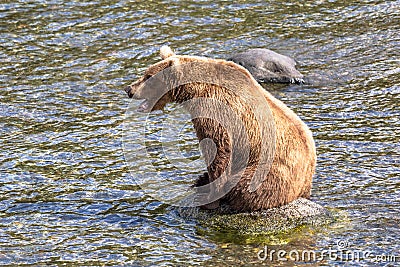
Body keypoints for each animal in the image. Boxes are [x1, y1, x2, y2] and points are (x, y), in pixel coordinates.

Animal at [125, 46, 316, 214]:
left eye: (148, 76)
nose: (129, 89)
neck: (196, 91)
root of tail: (304, 187)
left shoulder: (216, 112)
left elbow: (217, 151)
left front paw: (209, 199)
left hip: (268, 172)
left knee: (246, 186)